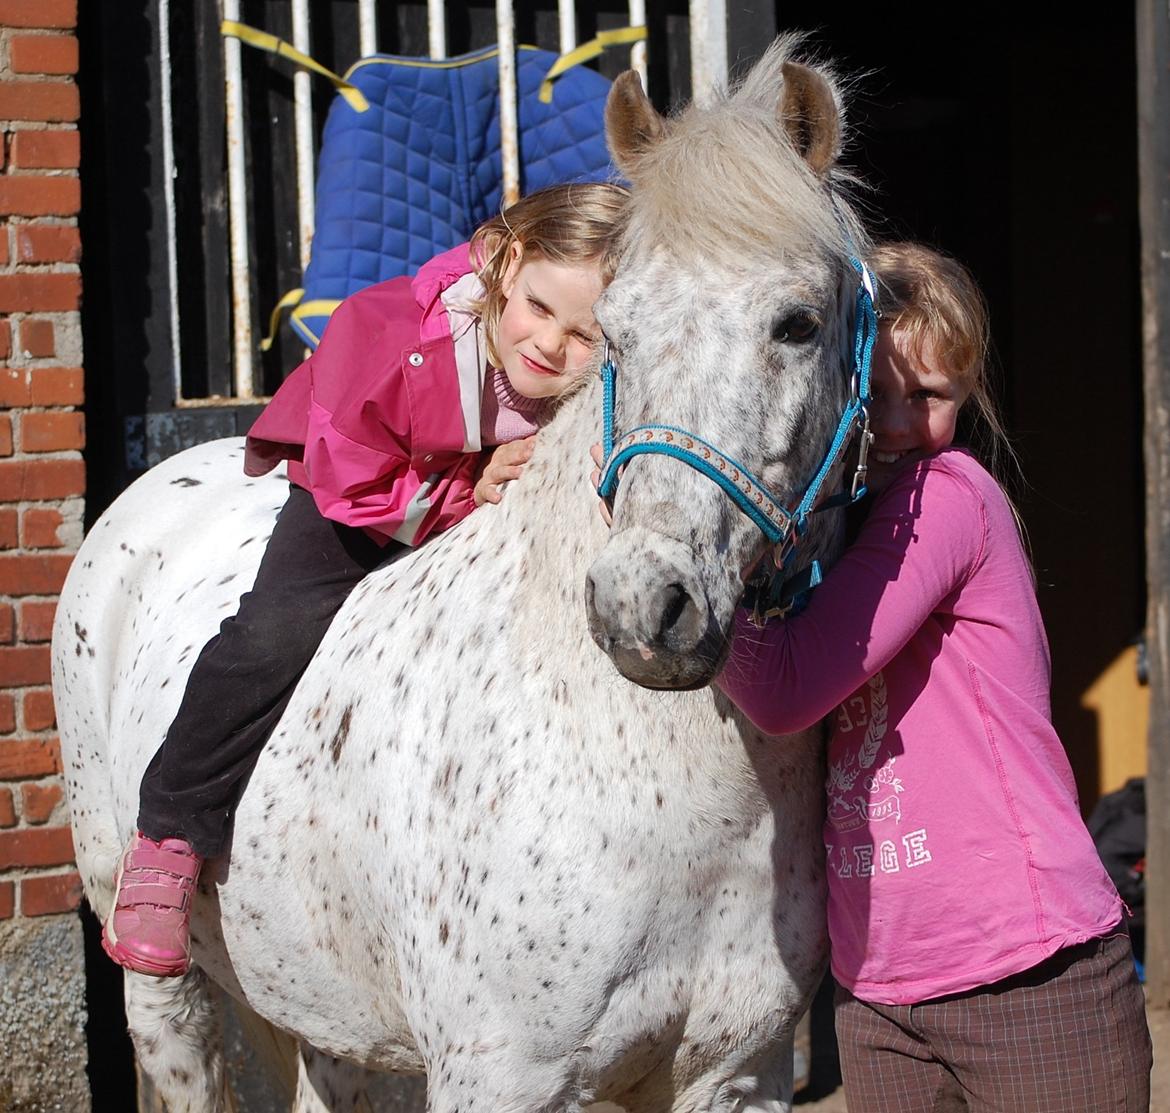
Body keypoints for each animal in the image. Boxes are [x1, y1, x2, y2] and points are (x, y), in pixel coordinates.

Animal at [52, 36, 868, 1113]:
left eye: (799, 323)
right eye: (618, 330)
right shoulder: (504, 1077)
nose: (644, 609)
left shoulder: (737, 1075)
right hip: (167, 991)